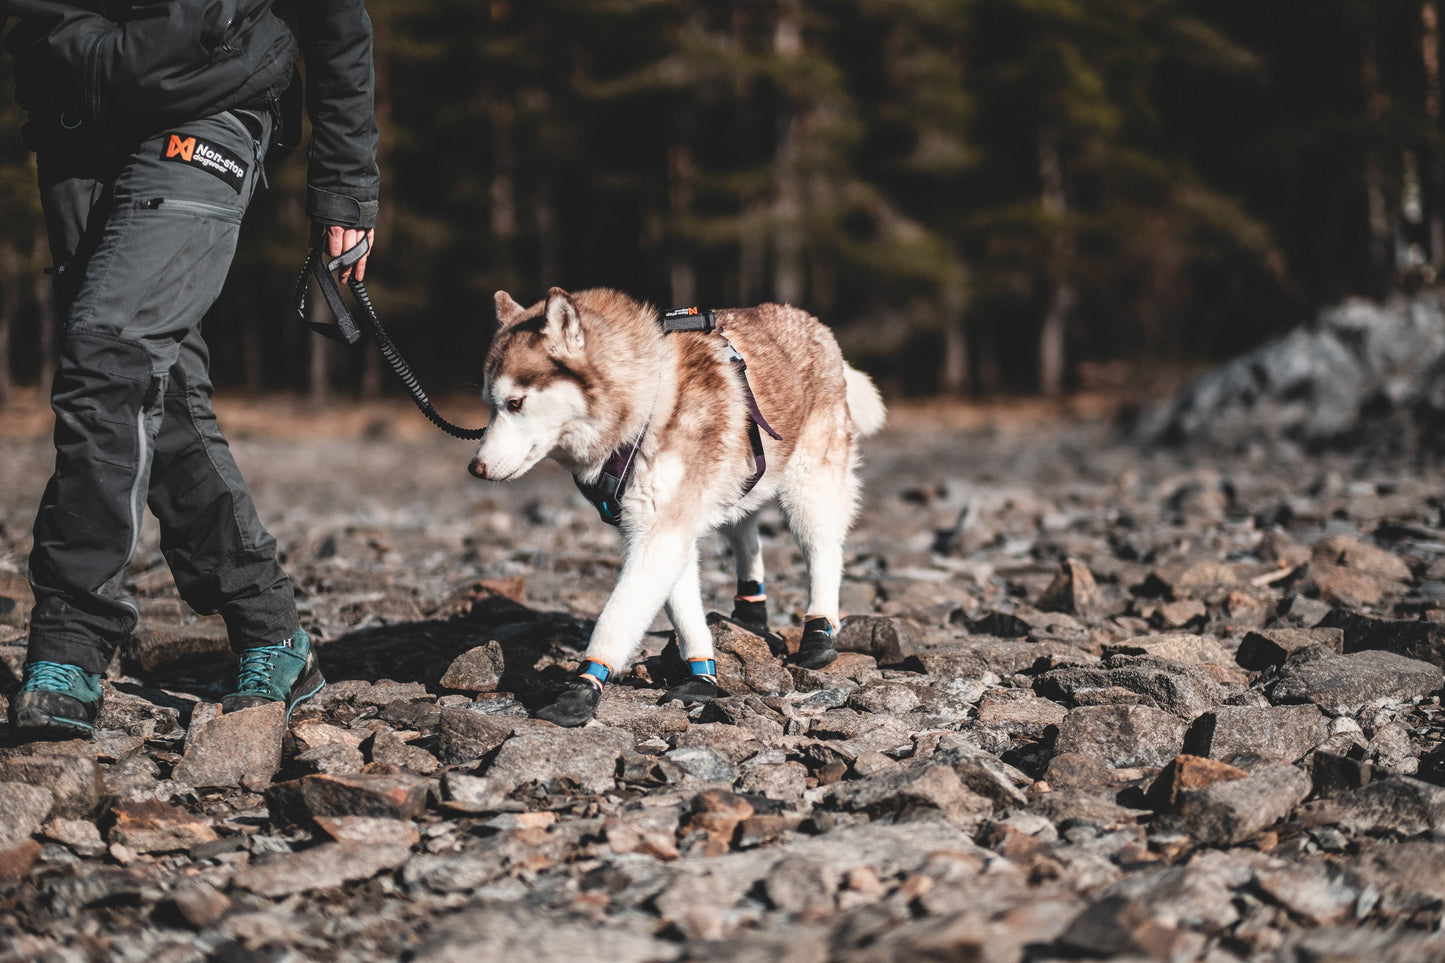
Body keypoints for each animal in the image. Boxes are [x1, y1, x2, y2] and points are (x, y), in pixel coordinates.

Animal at [468, 289, 884, 722]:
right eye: (490, 405)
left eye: (515, 403)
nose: (475, 467)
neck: (645, 404)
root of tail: (810, 321)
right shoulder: (659, 526)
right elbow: (684, 613)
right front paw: (702, 676)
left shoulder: (661, 533)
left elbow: (616, 617)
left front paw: (584, 686)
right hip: (743, 479)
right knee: (746, 535)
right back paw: (750, 611)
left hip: (809, 490)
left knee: (823, 553)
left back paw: (819, 632)